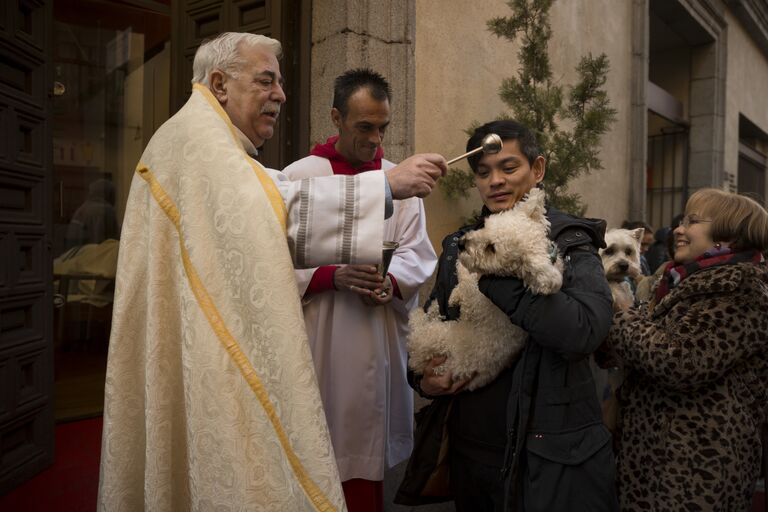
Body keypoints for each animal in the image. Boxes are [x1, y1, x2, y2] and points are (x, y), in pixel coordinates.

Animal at [408, 188, 564, 392]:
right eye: (487, 225)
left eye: (492, 248)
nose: (461, 243)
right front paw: (453, 294)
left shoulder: (475, 301)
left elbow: (466, 279)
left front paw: (460, 275)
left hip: (434, 338)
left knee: (416, 331)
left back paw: (419, 314)